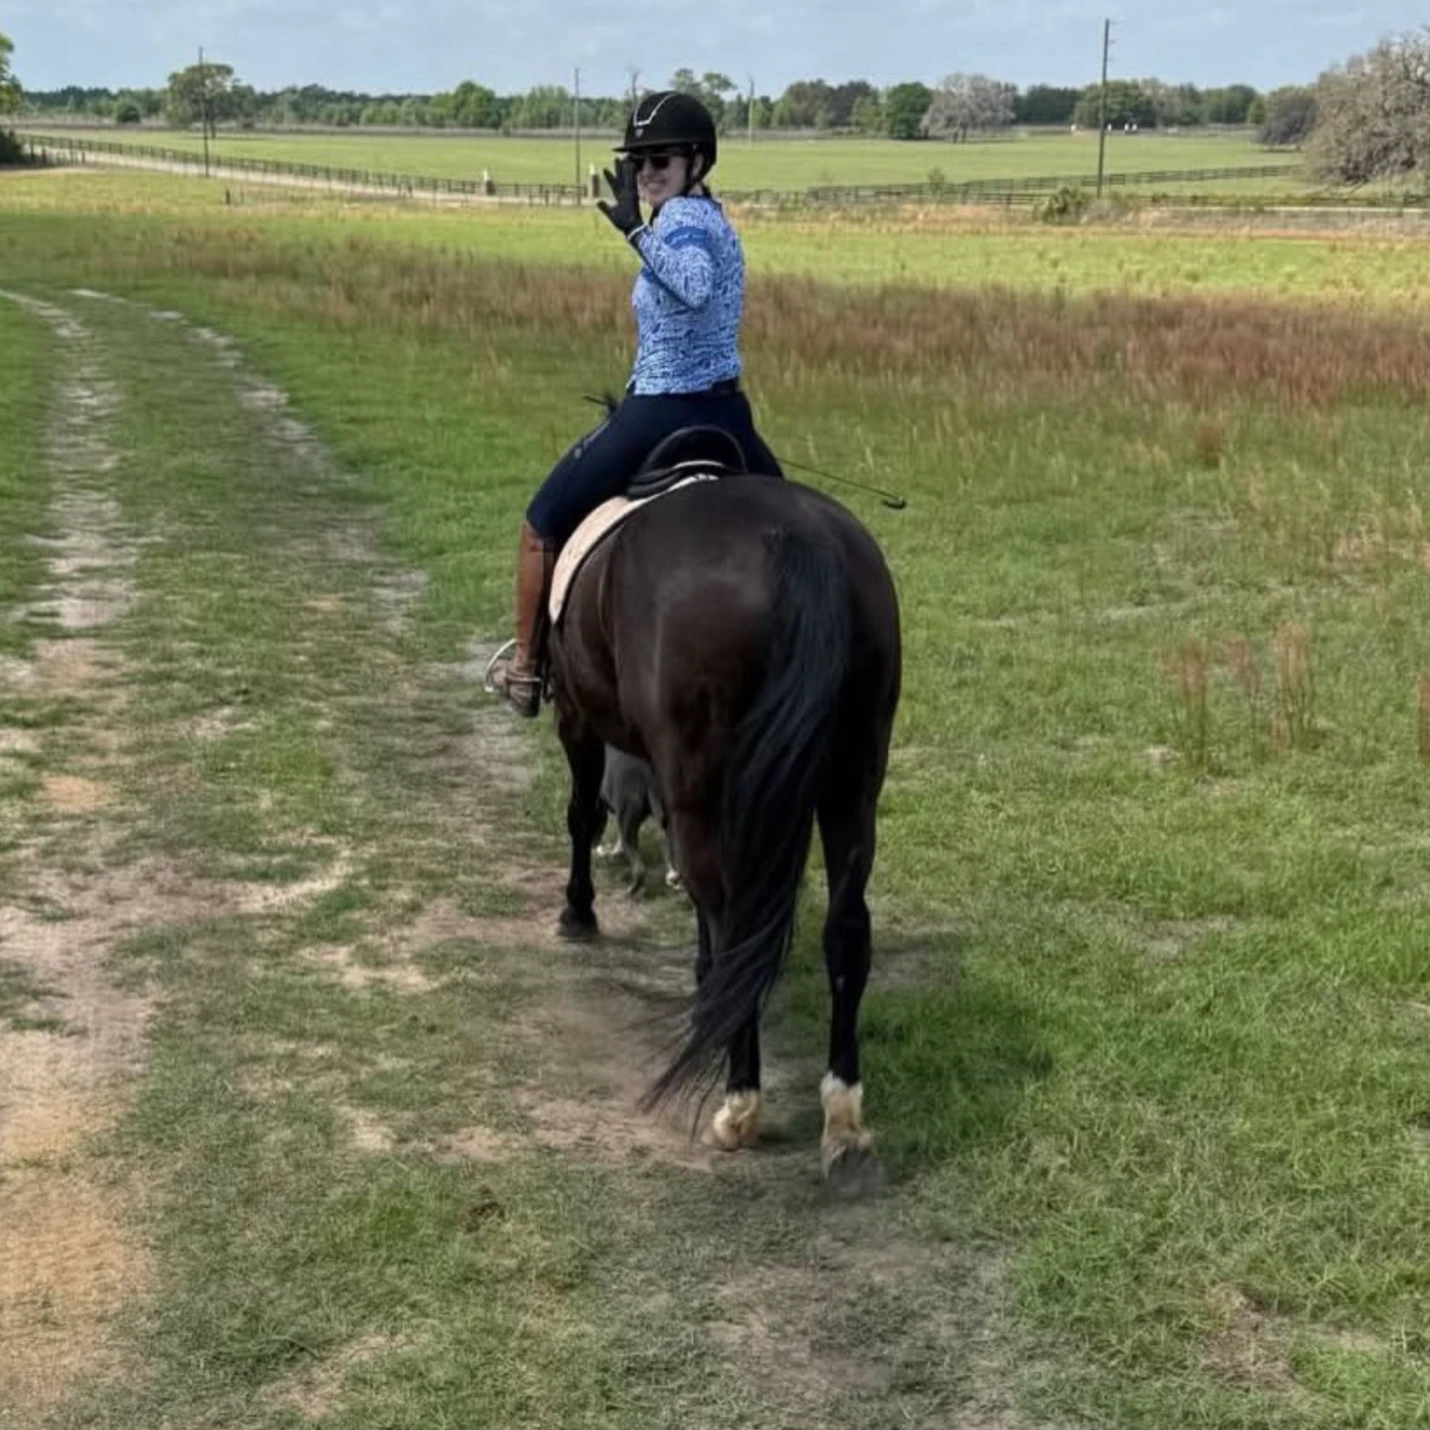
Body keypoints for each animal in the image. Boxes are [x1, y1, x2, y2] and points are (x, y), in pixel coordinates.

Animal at [544, 432, 902, 1184]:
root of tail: (795, 538)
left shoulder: (576, 717)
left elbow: (582, 813)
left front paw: (578, 911)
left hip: (701, 788)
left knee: (731, 919)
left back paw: (739, 1105)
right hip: (852, 782)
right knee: (846, 930)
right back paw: (843, 1122)